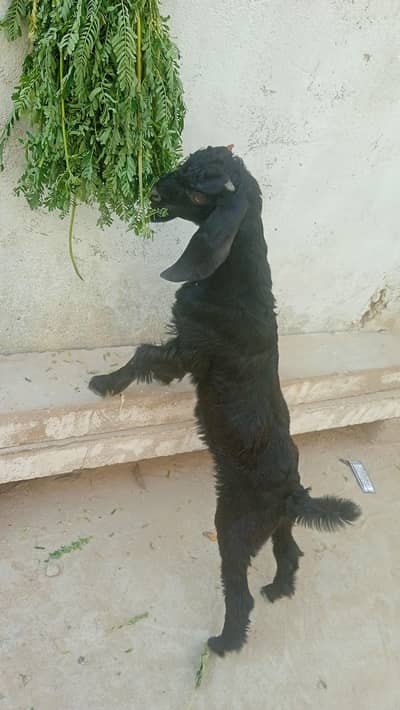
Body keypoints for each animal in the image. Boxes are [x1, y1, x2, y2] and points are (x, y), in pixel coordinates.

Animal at [89, 145, 361, 657]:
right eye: (185, 163)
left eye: (198, 189)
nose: (154, 184)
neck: (235, 274)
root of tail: (291, 492)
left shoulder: (188, 349)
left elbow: (143, 355)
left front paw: (105, 381)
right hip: (277, 525)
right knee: (290, 552)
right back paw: (280, 588)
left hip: (234, 527)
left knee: (239, 593)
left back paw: (225, 641)